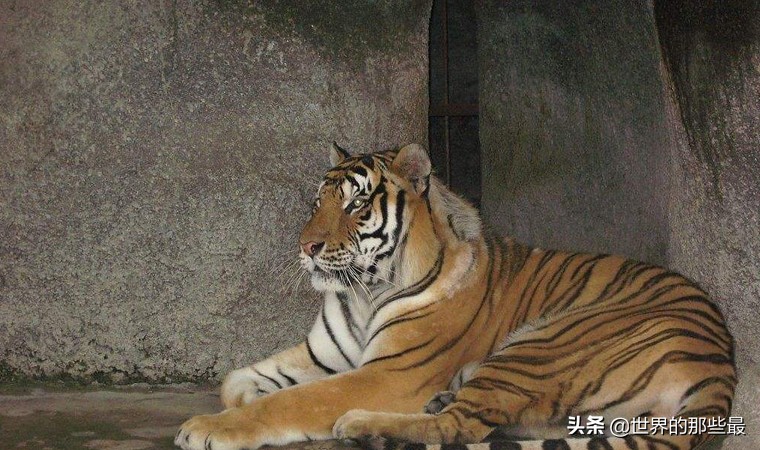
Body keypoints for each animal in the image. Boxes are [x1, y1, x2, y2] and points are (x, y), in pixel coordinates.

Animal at [176, 143, 736, 450]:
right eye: (319, 202)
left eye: (356, 205)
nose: (306, 246)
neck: (364, 292)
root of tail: (721, 370)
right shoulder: (323, 355)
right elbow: (237, 380)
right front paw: (244, 396)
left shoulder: (391, 373)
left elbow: (295, 400)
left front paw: (206, 428)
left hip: (541, 344)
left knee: (460, 426)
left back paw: (362, 425)